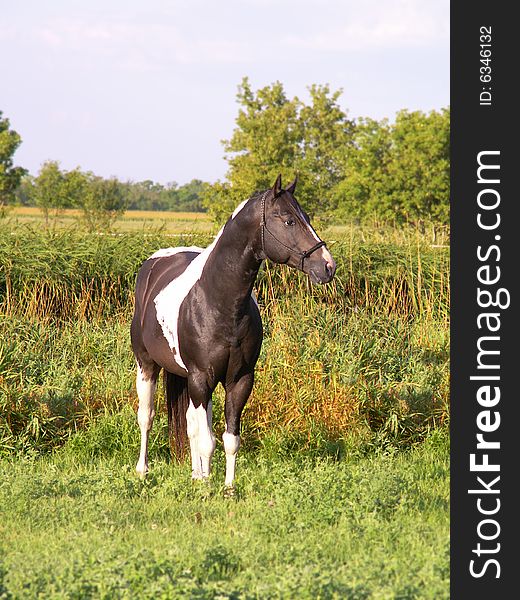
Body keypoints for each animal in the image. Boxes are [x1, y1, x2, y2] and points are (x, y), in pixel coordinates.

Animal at [130, 173, 338, 488]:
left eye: (308, 218)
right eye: (289, 220)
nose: (327, 266)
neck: (218, 301)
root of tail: (153, 265)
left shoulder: (238, 380)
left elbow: (229, 439)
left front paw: (227, 486)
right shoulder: (201, 377)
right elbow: (207, 440)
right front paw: (207, 487)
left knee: (191, 423)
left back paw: (196, 473)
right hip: (148, 365)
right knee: (147, 417)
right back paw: (143, 470)